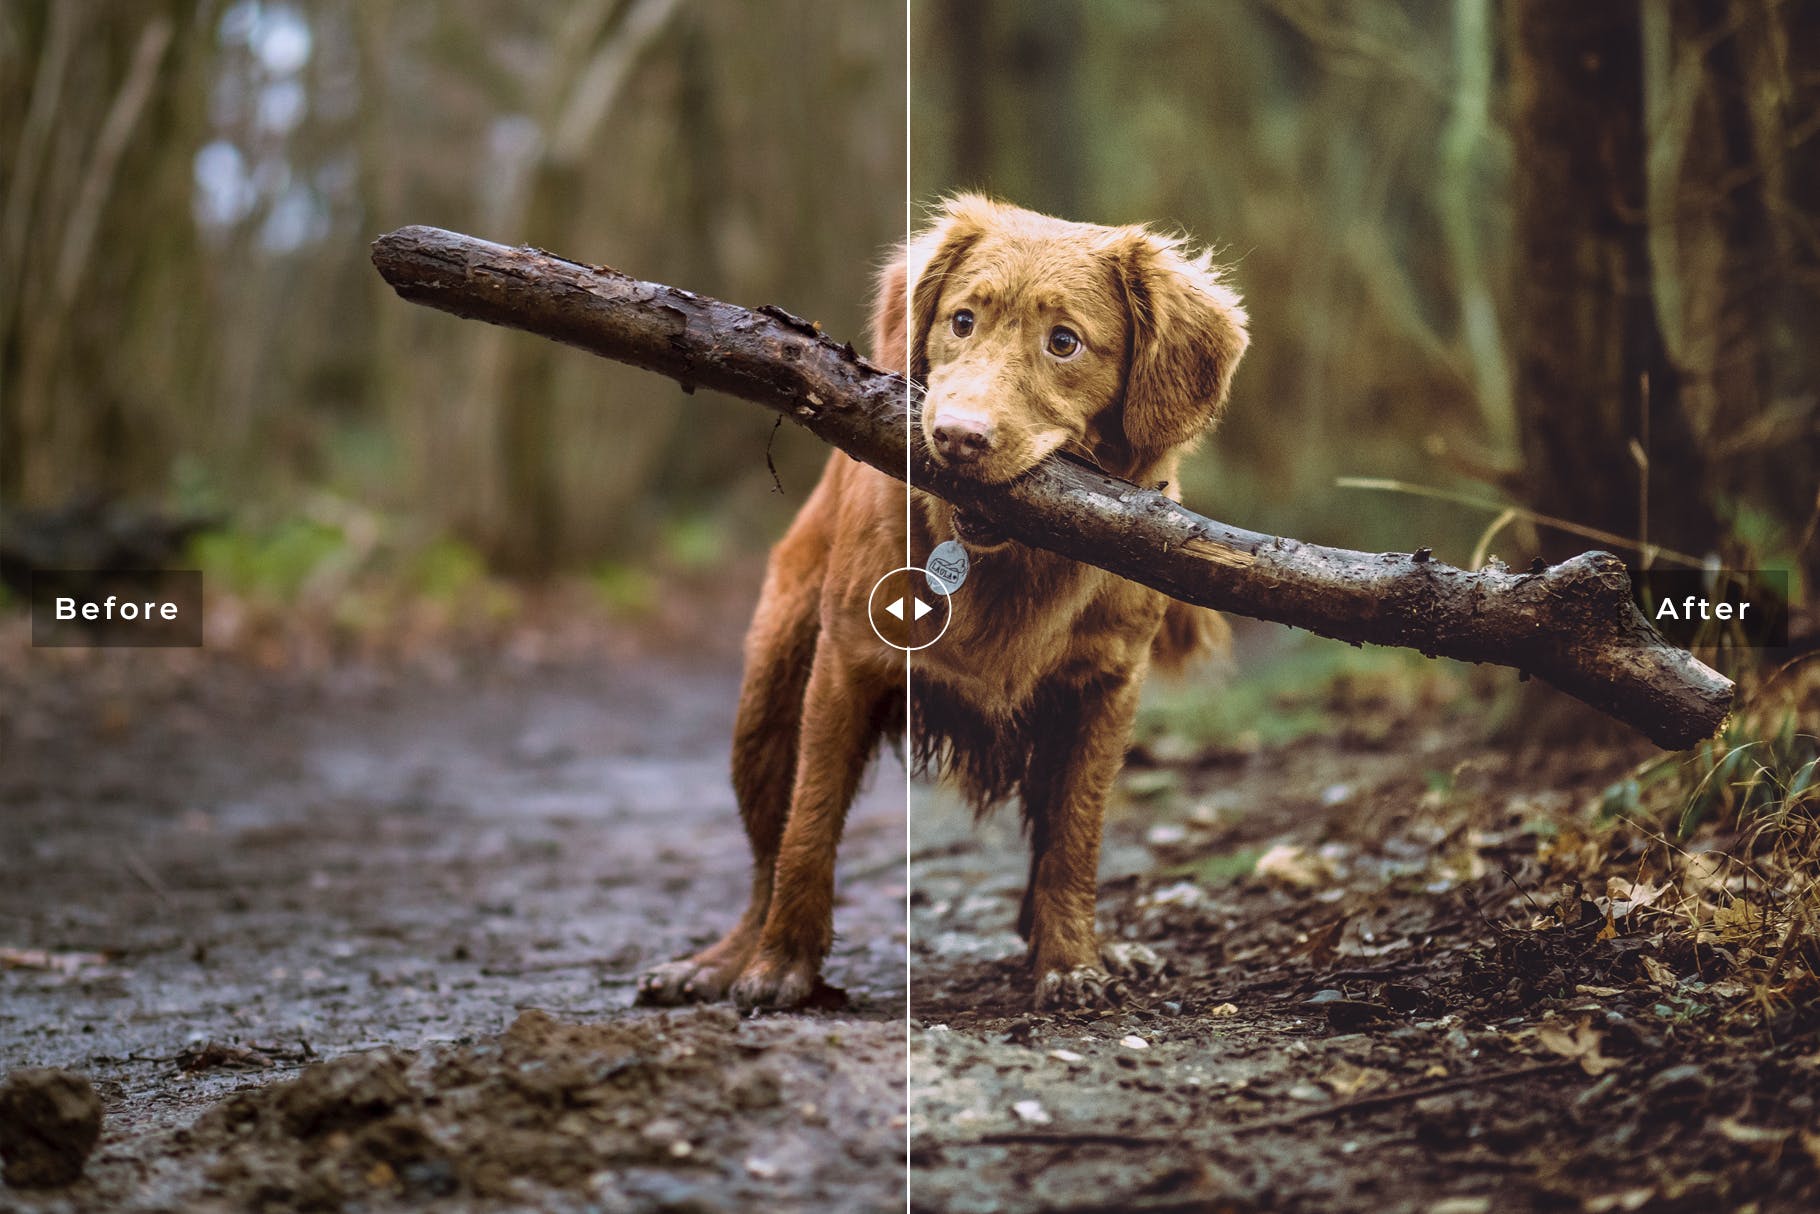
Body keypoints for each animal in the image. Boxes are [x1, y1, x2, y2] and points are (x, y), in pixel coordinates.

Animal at [640, 197, 1252, 1004]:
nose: (958, 437)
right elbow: (808, 828)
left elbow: (1074, 838)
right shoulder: (847, 662)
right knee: (767, 855)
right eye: (963, 320)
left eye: (1064, 342)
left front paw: (1073, 962)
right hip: (766, 702)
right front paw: (781, 966)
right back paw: (721, 961)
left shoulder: (1105, 689)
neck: (1008, 564)